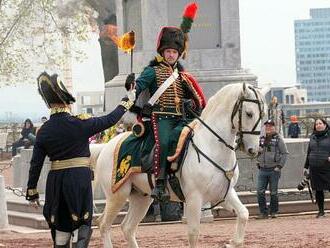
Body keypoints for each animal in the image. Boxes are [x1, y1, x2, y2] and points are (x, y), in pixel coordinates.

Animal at [93, 83, 266, 248]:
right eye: (249, 113)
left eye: (263, 115)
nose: (254, 150)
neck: (211, 145)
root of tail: (107, 146)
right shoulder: (194, 198)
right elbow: (193, 233)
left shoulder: (224, 194)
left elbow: (244, 214)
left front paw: (233, 242)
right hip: (118, 195)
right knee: (103, 224)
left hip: (141, 197)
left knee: (127, 227)